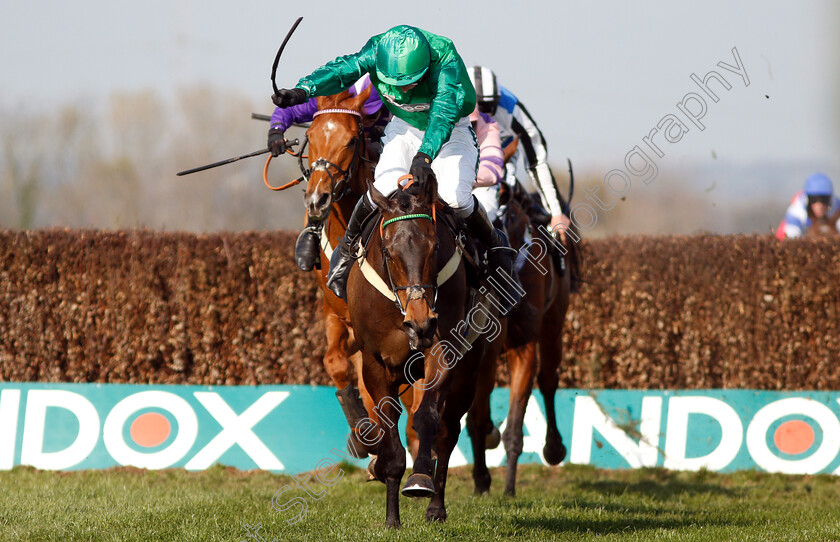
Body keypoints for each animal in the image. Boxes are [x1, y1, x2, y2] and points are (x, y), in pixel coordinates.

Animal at [348, 178, 506, 528]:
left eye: (434, 248)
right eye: (389, 252)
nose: (420, 323)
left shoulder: (443, 352)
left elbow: (427, 419)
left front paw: (420, 481)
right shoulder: (374, 364)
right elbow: (389, 433)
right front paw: (391, 517)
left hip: (467, 372)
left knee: (447, 431)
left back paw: (435, 505)